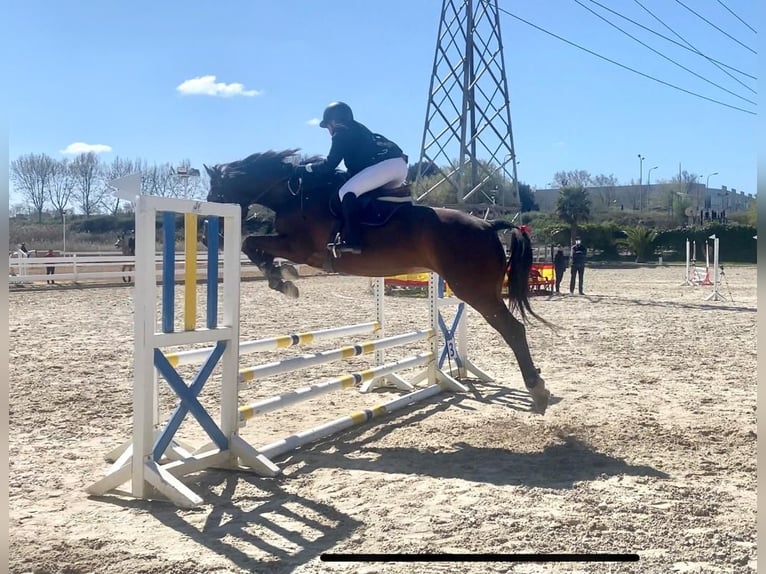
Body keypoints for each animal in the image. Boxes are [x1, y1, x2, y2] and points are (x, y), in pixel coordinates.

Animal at [203, 149, 551, 413]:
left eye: (216, 193)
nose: (212, 234)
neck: (296, 194)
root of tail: (488, 224)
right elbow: (254, 246)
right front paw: (282, 274)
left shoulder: (301, 247)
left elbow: (251, 243)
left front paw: (282, 279)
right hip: (481, 289)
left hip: (474, 291)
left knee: (513, 330)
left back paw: (537, 389)